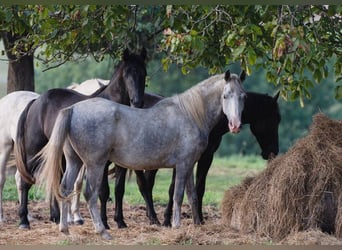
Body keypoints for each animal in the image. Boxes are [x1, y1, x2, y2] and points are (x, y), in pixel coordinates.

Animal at [14, 47, 147, 229]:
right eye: (127, 73)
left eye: (144, 73)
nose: (137, 102)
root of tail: (35, 102)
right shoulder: (101, 161)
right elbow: (103, 191)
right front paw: (104, 223)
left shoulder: (121, 162)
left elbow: (119, 190)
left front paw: (120, 221)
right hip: (33, 152)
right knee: (25, 181)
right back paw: (24, 221)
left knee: (55, 180)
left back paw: (56, 217)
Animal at [104, 91, 280, 228]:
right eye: (274, 119)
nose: (273, 152)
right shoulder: (186, 160)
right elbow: (174, 189)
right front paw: (169, 220)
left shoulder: (205, 157)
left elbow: (197, 188)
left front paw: (198, 219)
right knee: (130, 186)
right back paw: (130, 220)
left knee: (140, 185)